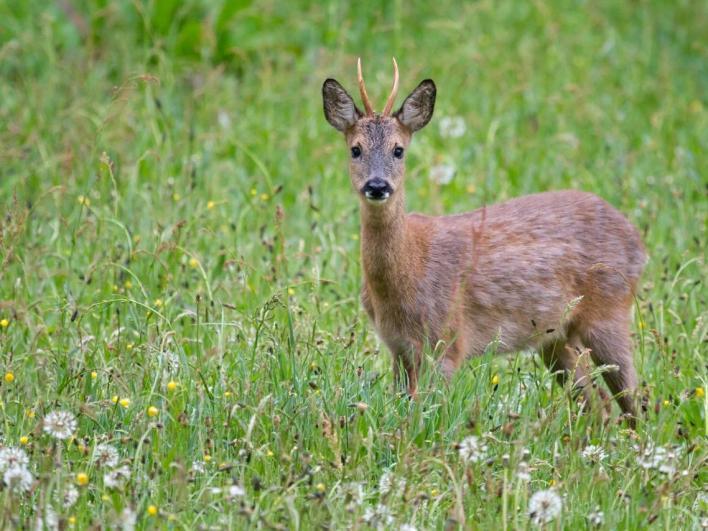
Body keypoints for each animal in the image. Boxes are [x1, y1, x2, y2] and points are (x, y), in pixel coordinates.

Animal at [324, 58, 644, 426]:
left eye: (398, 150)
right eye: (355, 149)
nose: (377, 186)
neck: (408, 271)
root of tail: (637, 239)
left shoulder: (447, 340)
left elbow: (428, 416)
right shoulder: (398, 347)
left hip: (610, 312)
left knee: (635, 399)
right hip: (556, 338)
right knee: (598, 404)